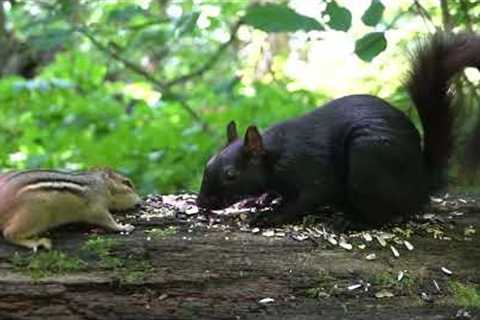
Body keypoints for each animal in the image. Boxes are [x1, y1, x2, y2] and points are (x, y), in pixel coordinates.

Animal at [195, 32, 480, 228]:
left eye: (231, 175)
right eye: (207, 163)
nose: (201, 204)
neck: (276, 154)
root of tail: (421, 184)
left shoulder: (312, 172)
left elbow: (306, 199)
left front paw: (270, 216)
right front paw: (258, 200)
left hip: (368, 161)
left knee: (384, 216)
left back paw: (351, 221)